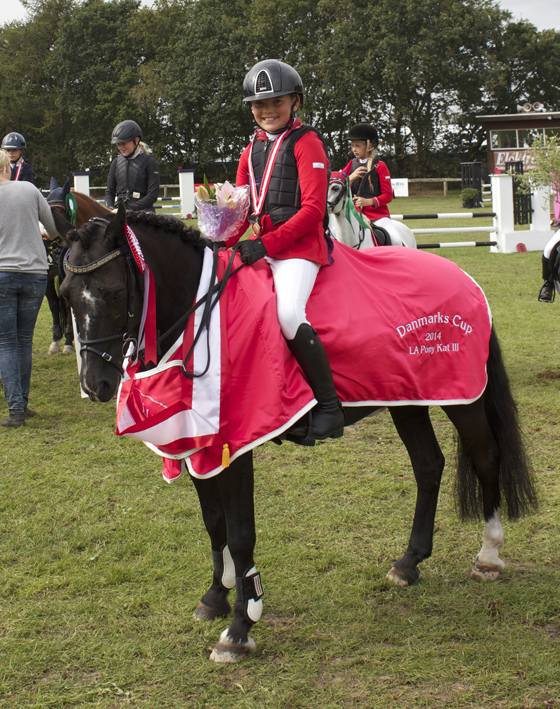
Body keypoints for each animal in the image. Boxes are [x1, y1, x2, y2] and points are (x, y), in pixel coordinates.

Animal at [51, 205, 537, 664]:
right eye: (66, 294)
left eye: (116, 292)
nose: (95, 385)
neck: (203, 312)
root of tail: (461, 275)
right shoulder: (198, 441)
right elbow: (214, 523)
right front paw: (216, 596)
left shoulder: (236, 444)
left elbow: (240, 532)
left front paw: (239, 628)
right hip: (405, 397)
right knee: (428, 465)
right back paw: (408, 563)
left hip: (462, 397)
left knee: (486, 456)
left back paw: (488, 556)